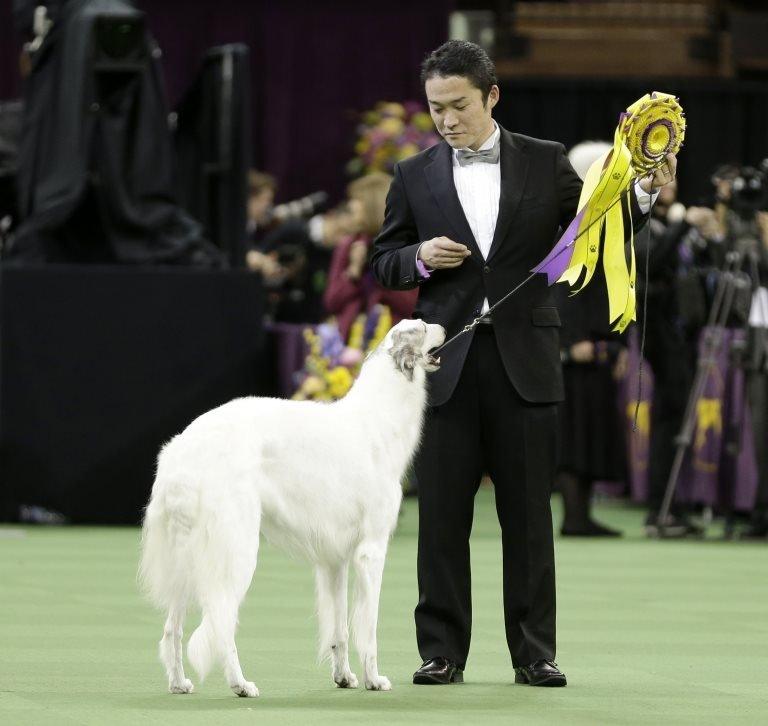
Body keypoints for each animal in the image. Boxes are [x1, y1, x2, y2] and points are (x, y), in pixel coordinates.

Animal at [140, 322, 444, 696]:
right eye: (422, 327)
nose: (445, 326)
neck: (377, 417)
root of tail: (179, 451)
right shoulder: (370, 552)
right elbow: (368, 629)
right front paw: (374, 679)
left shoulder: (334, 561)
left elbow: (339, 630)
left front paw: (344, 677)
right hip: (235, 553)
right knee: (221, 625)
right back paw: (241, 684)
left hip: (185, 559)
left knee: (172, 629)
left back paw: (179, 682)